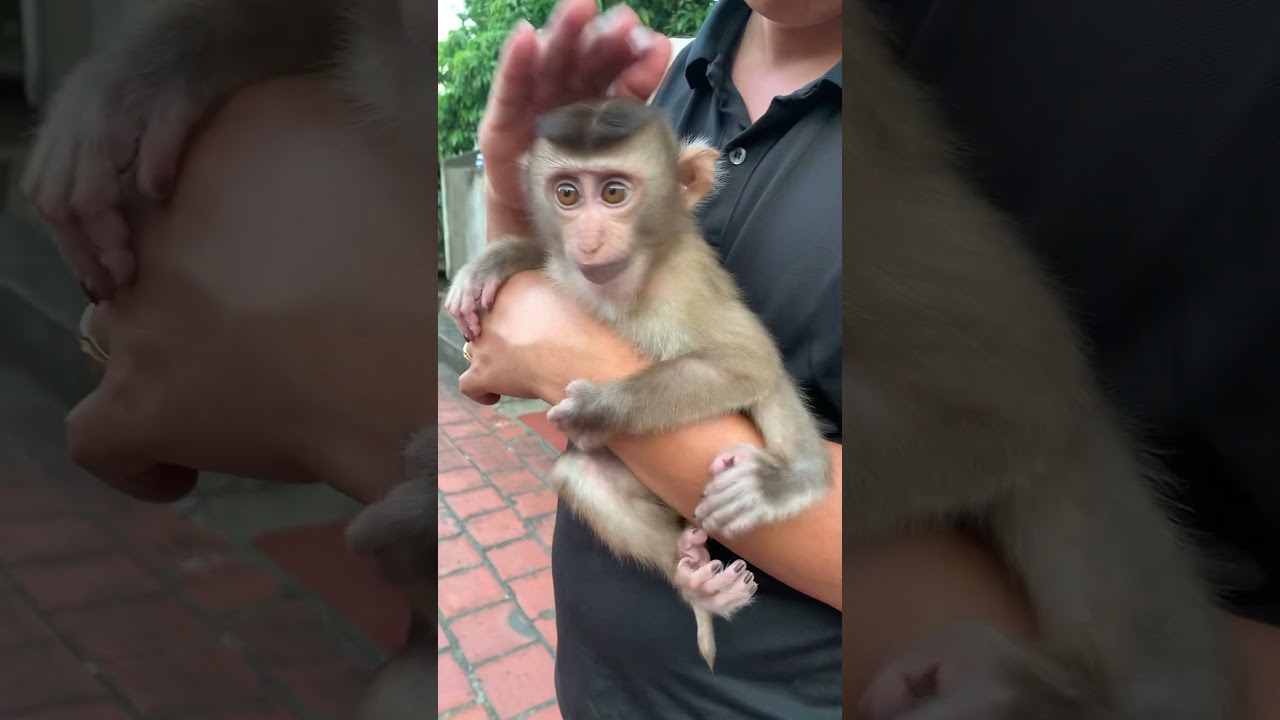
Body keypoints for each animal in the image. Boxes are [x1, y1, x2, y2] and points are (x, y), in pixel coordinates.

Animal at [442, 98, 838, 669]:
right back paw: (692, 581)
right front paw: (490, 266)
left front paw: (596, 409)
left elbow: (747, 361)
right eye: (566, 194)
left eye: (614, 193)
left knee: (769, 382)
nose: (587, 240)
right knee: (581, 474)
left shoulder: (684, 285)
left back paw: (796, 479)